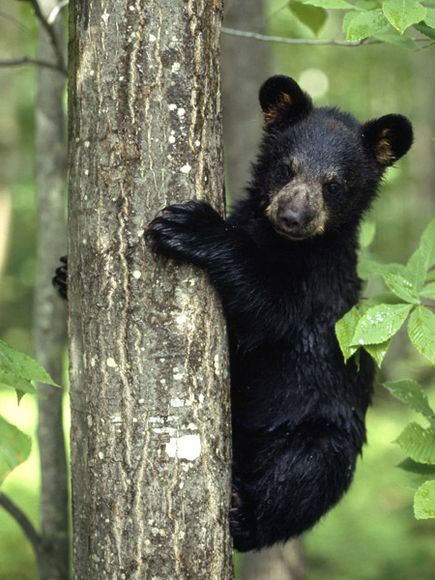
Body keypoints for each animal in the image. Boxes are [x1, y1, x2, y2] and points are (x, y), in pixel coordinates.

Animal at [52, 76, 414, 552]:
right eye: (287, 167)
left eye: (334, 184)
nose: (292, 216)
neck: (282, 242)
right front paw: (65, 274)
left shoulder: (318, 282)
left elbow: (268, 310)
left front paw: (190, 226)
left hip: (318, 431)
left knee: (306, 474)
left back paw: (246, 514)